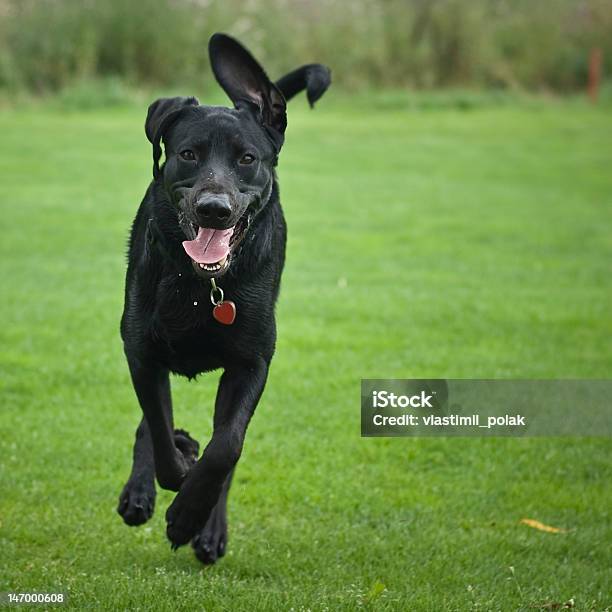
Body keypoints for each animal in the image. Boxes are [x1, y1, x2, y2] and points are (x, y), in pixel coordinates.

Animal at [117, 32, 332, 560]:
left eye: (247, 159)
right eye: (188, 154)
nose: (214, 209)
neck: (201, 285)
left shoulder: (251, 362)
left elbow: (227, 447)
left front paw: (189, 515)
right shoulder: (140, 351)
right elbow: (159, 429)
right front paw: (175, 471)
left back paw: (207, 529)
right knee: (152, 425)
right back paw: (141, 491)